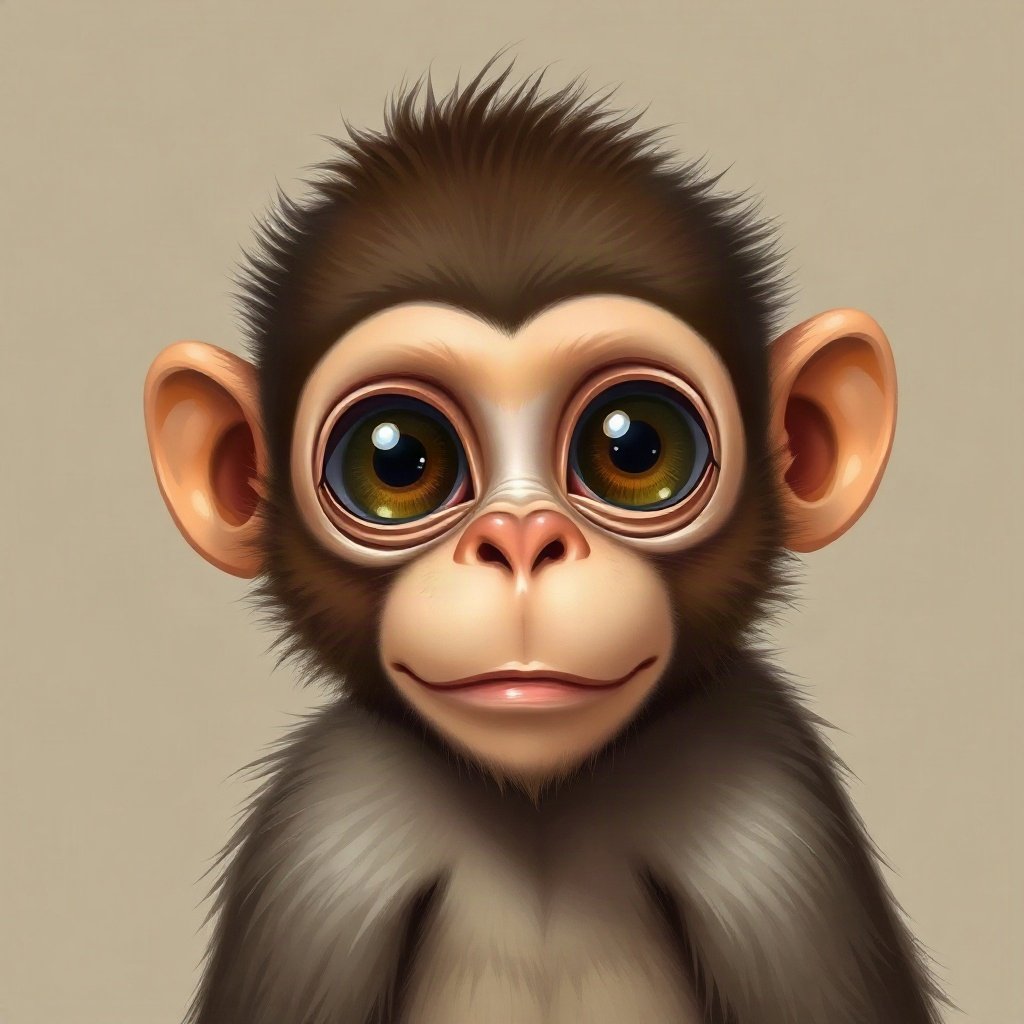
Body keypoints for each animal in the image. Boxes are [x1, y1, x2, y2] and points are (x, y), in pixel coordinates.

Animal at [143, 62, 948, 1024]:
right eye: (397, 459)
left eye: (635, 446)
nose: (522, 543)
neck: (541, 814)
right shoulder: (324, 835)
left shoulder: (773, 815)